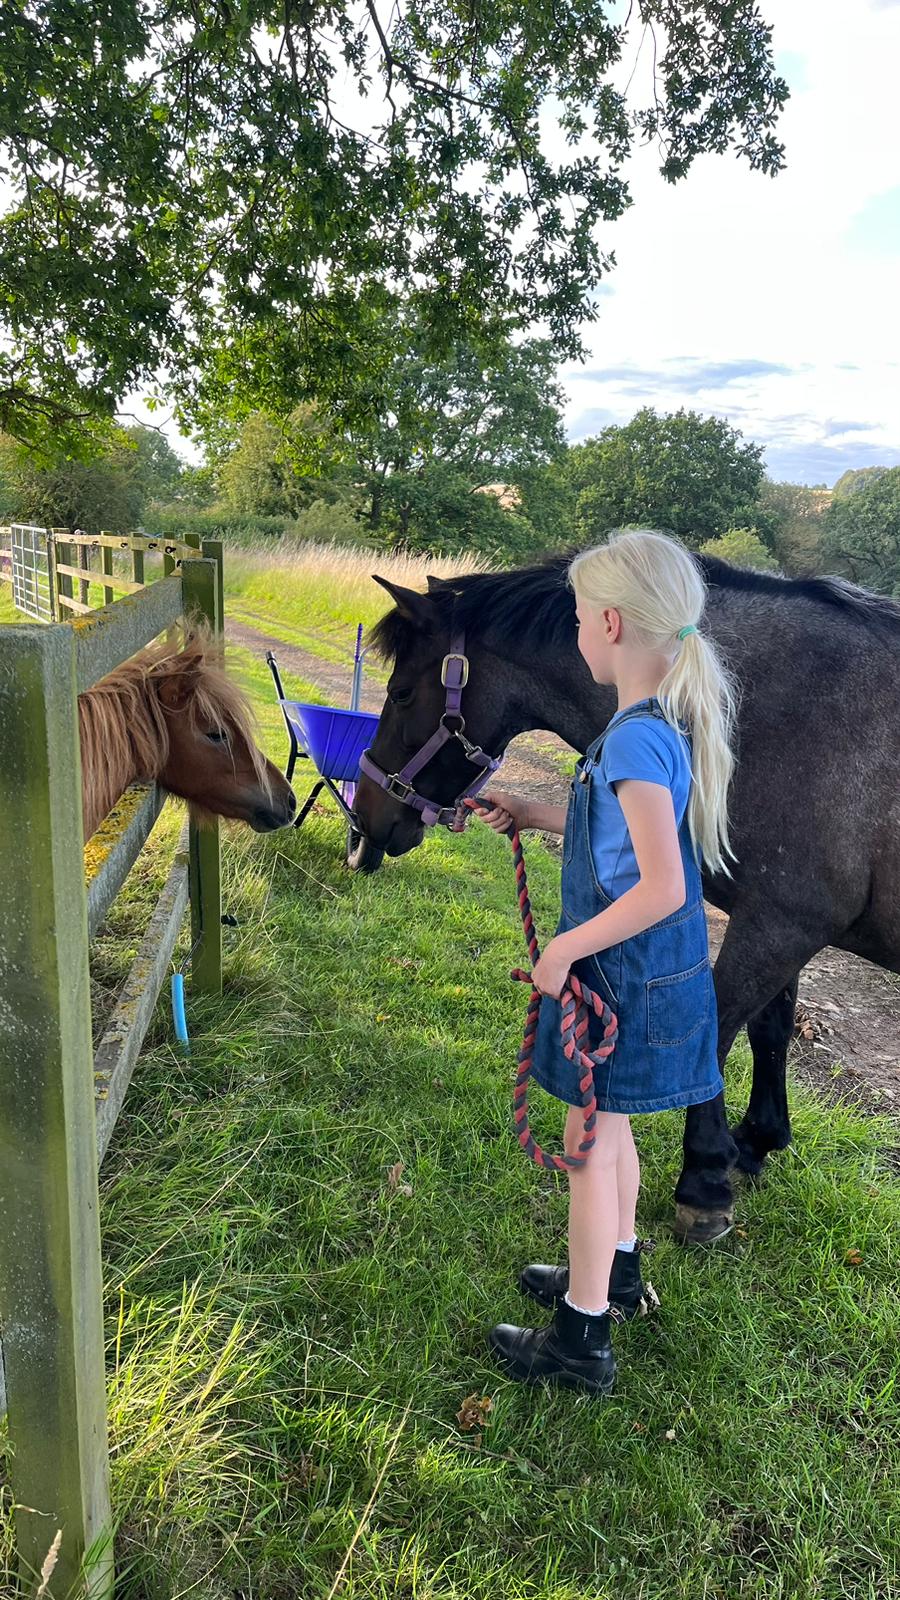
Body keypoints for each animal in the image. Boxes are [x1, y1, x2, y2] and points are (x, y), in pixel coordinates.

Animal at [352, 556, 896, 1241]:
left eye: (401, 693)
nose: (366, 817)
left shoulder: (780, 922)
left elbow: (715, 1027)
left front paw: (706, 1181)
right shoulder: (778, 921)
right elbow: (770, 1028)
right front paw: (756, 1142)